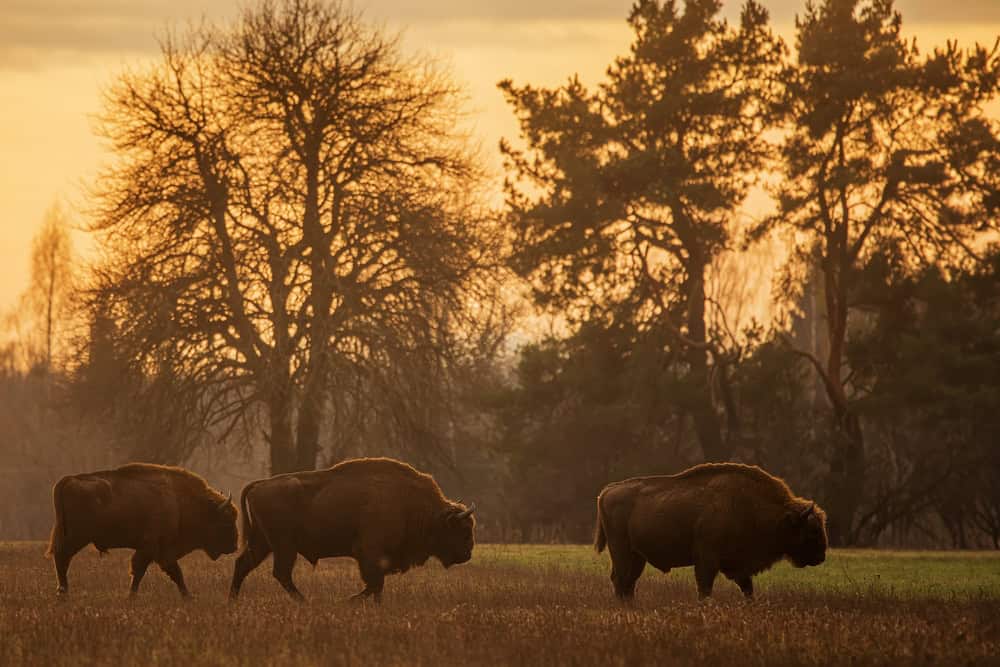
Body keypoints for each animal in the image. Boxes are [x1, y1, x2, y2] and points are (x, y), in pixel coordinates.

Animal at [47, 463, 238, 597]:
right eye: (226, 521)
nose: (234, 546)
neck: (180, 503)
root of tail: (69, 480)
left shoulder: (161, 552)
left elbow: (174, 574)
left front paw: (188, 597)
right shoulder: (152, 548)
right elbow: (142, 571)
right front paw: (131, 597)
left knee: (61, 559)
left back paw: (62, 593)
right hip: (76, 537)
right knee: (62, 559)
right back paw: (63, 593)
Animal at [229, 457, 476, 603]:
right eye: (462, 530)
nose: (468, 554)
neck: (412, 503)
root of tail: (260, 484)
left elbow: (377, 585)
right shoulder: (369, 553)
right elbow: (375, 583)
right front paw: (347, 601)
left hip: (263, 543)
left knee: (244, 565)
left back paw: (233, 601)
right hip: (283, 546)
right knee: (281, 573)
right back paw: (305, 602)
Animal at [594, 462, 827, 600]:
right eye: (813, 530)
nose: (821, 556)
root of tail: (606, 491)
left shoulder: (738, 566)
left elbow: (748, 589)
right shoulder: (707, 560)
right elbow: (705, 588)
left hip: (638, 556)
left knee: (629, 582)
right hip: (622, 551)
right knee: (620, 579)